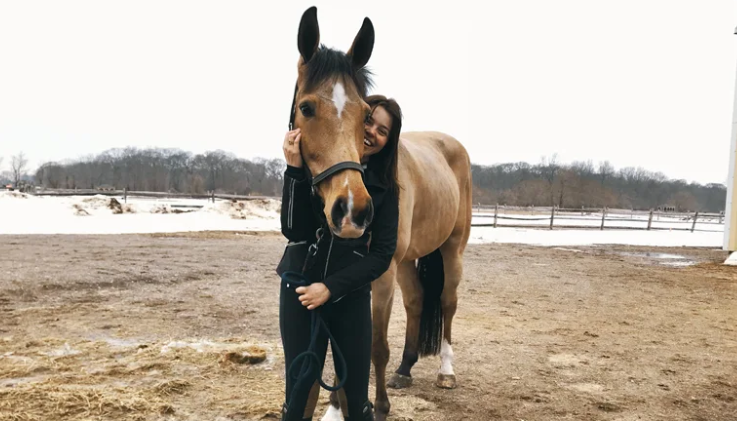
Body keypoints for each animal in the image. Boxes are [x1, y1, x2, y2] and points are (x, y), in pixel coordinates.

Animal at [287, 7, 472, 421]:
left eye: (364, 115)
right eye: (306, 107)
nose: (351, 210)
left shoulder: (380, 273)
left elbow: (373, 346)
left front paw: (381, 405)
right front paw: (334, 408)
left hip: (451, 250)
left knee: (448, 303)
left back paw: (446, 371)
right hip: (406, 261)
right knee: (417, 300)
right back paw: (405, 368)